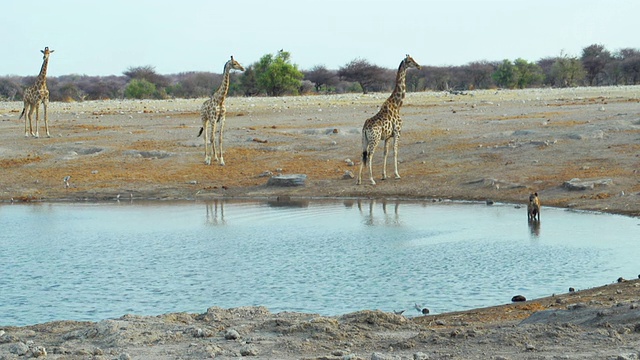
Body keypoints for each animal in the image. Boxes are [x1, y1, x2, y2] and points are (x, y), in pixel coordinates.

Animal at [356, 56, 420, 187]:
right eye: (409, 61)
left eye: (413, 59)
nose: (419, 66)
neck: (397, 104)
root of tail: (365, 127)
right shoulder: (397, 132)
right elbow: (395, 151)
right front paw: (397, 174)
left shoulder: (387, 137)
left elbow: (385, 152)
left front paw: (384, 175)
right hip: (374, 139)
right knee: (369, 155)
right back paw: (371, 180)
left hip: (364, 139)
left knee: (362, 154)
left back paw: (359, 180)